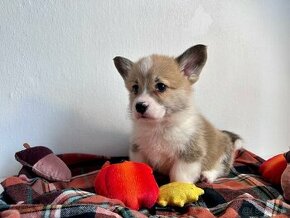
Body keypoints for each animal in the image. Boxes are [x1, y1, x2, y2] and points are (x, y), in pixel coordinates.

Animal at [113, 43, 242, 182]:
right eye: (135, 88)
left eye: (161, 86)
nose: (140, 106)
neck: (159, 127)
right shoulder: (138, 151)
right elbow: (140, 167)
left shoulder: (189, 155)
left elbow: (179, 175)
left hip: (223, 154)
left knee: (221, 169)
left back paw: (207, 175)